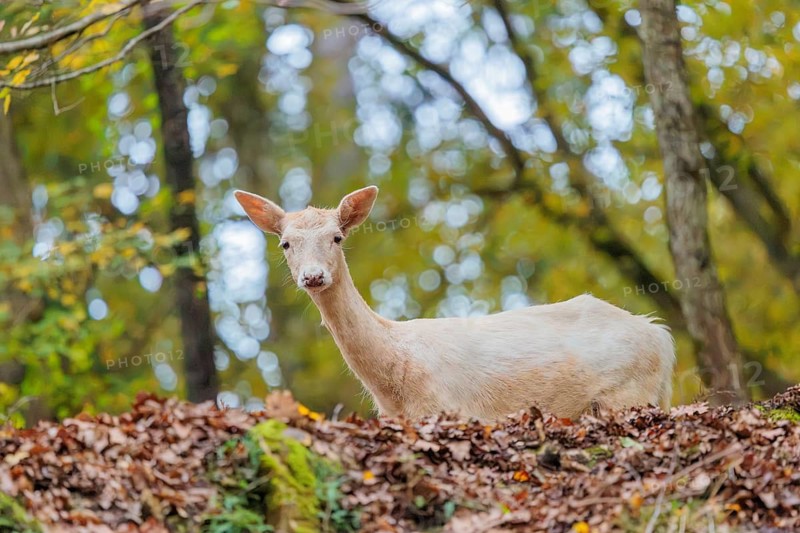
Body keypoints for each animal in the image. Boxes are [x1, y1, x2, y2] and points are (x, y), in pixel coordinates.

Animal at [235, 185, 676, 420]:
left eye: (337, 237)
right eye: (285, 243)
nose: (313, 276)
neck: (394, 383)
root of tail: (661, 335)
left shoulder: (450, 408)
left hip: (627, 391)